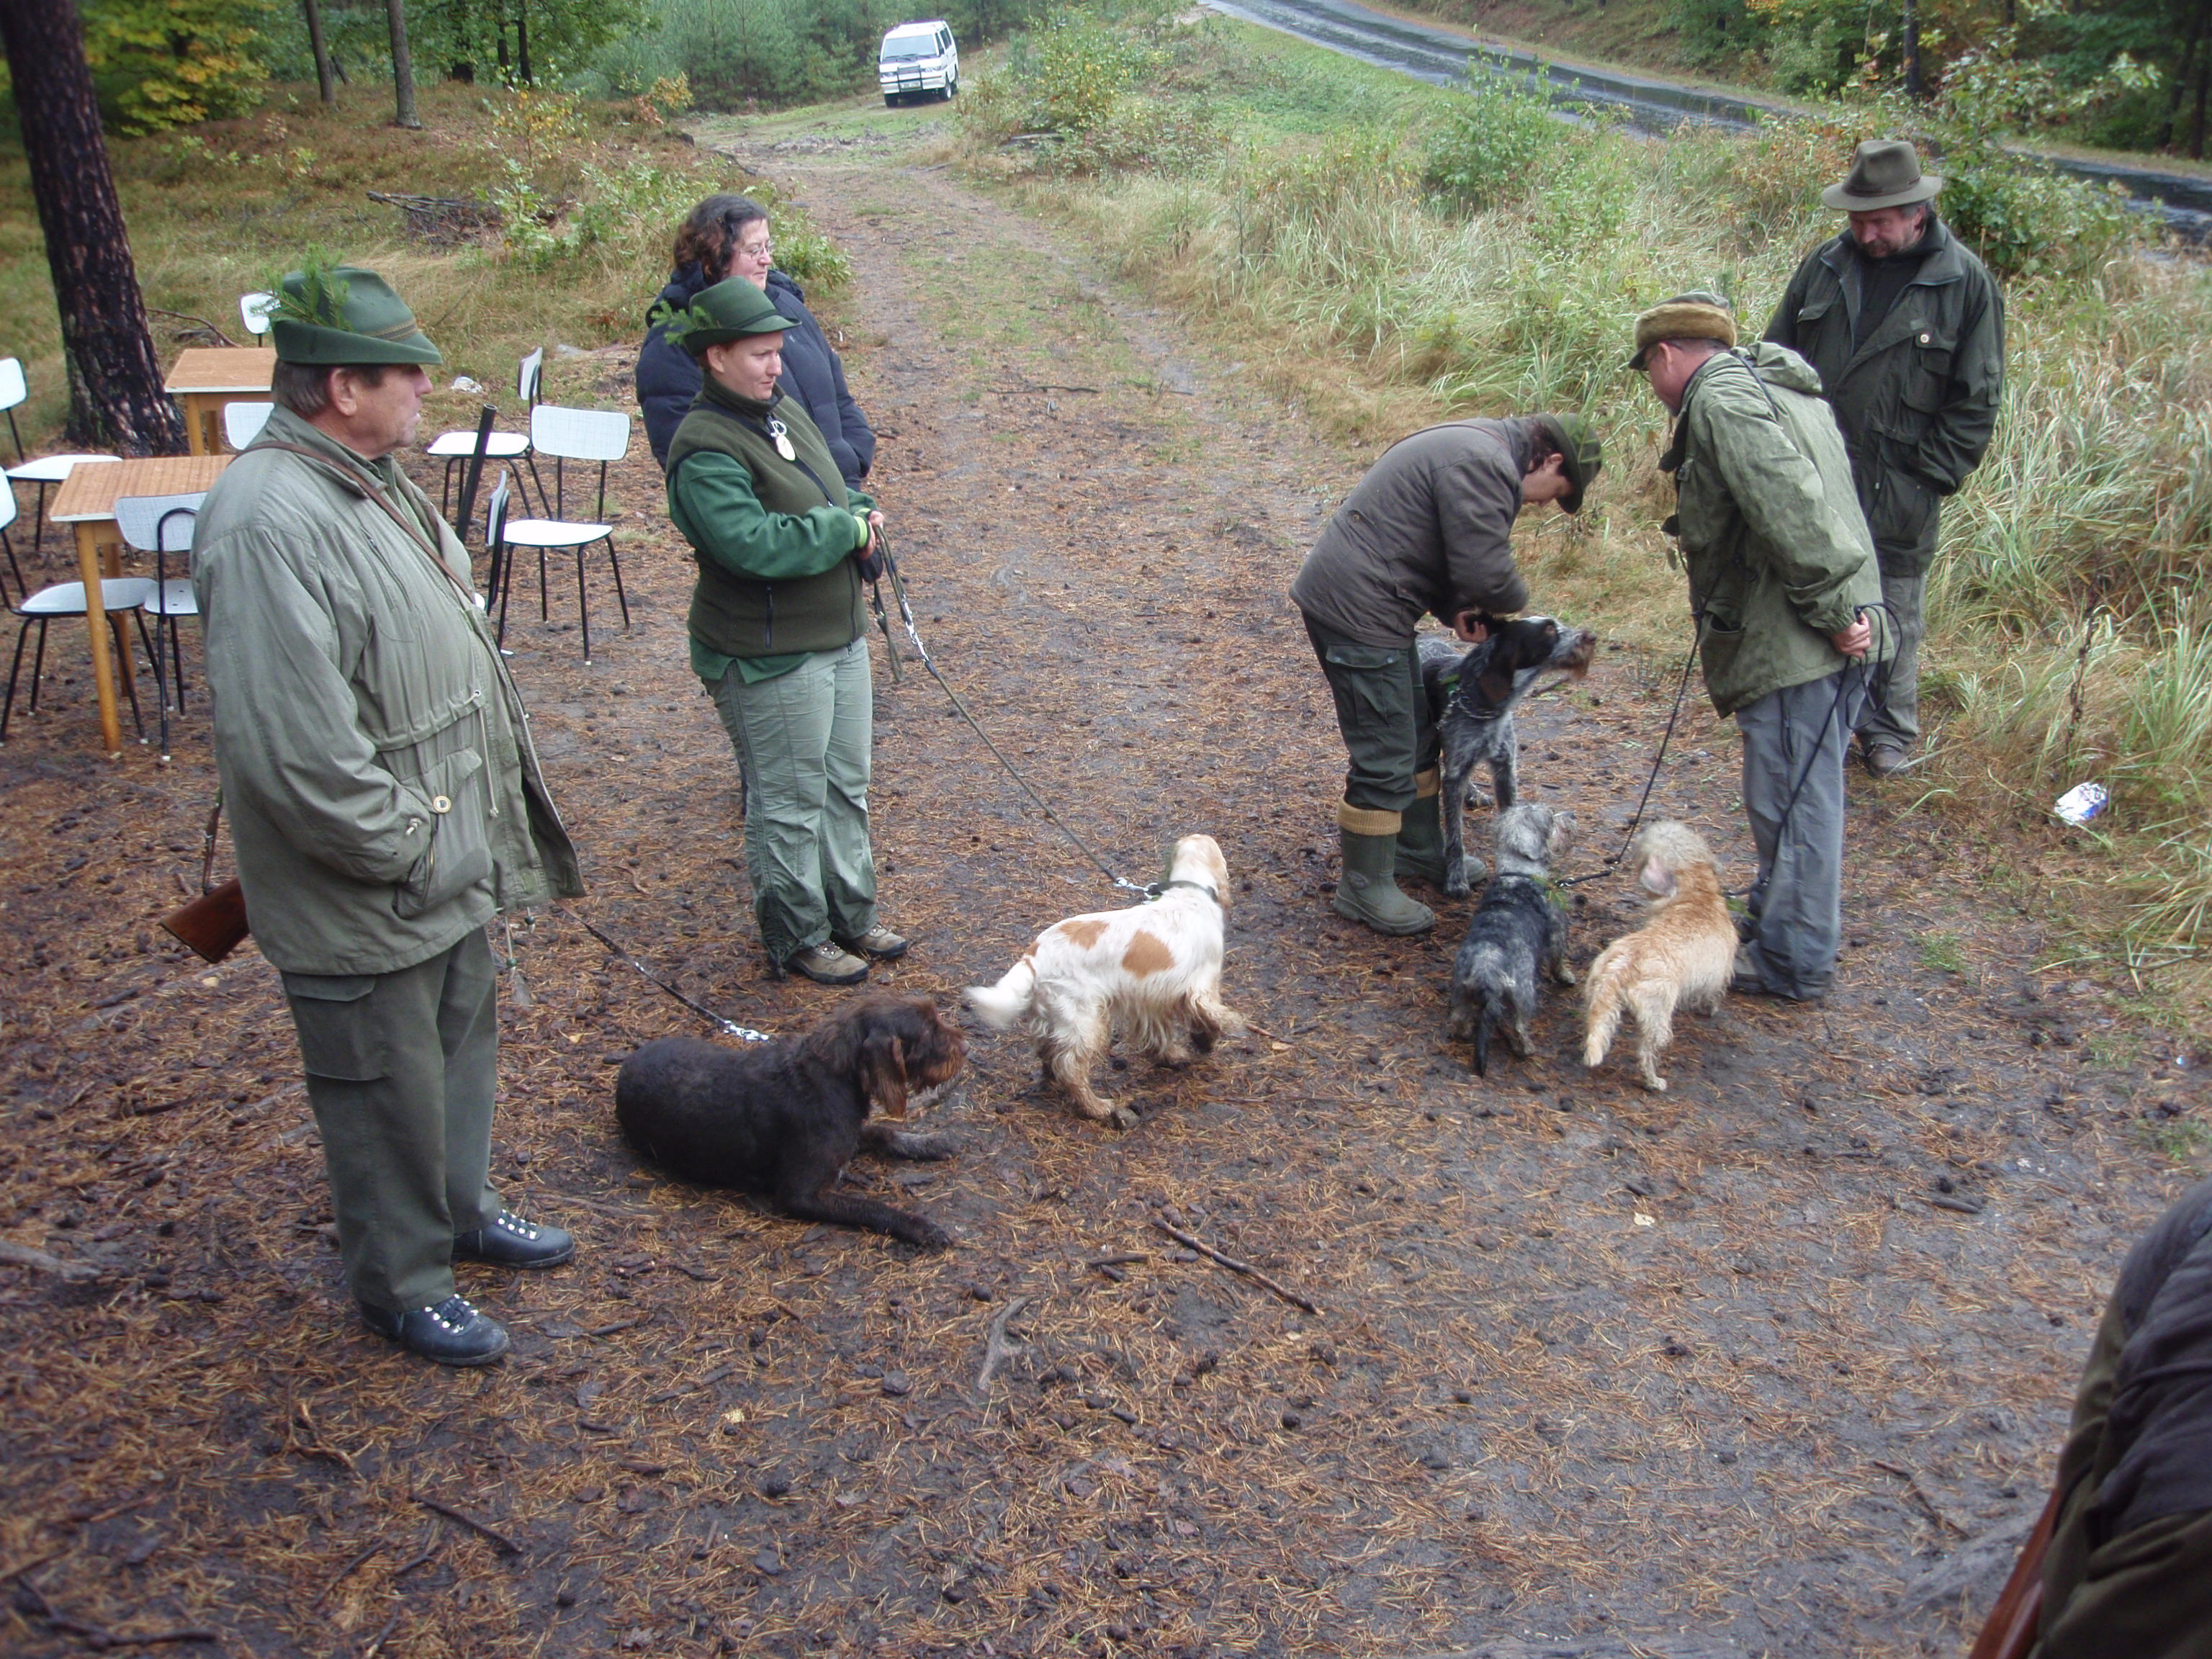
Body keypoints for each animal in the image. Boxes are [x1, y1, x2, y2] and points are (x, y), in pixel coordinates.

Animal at [624, 999, 968, 1247]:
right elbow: (873, 1207)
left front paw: (930, 1143)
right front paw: (919, 1226)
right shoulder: (800, 1195)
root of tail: (628, 1063)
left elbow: (883, 1133)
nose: (966, 1048)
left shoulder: (849, 1134)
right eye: (928, 1032)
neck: (834, 1075)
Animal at [968, 836, 1247, 1123]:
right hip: (1084, 1021)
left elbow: (1161, 1032)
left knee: (1049, 1053)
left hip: (1053, 1018)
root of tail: (1033, 956)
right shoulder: (1202, 987)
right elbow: (1212, 1016)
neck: (1188, 894)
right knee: (1071, 1068)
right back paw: (1098, 1107)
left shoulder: (1153, 999)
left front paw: (1173, 1055)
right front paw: (1210, 1038)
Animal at [1451, 805, 1575, 1079]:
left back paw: (1463, 1030)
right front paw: (1565, 976)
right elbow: (1558, 959)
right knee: (1518, 1026)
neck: (1520, 872)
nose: (1572, 816)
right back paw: (1526, 1047)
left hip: (1462, 989)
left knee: (1459, 1017)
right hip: (1523, 994)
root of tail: (1486, 969)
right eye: (1550, 818)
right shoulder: (1557, 931)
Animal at [1592, 827, 1743, 1097]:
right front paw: (1710, 1010)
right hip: (1658, 1018)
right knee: (1646, 1053)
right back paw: (1653, 1082)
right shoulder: (1720, 973)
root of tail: (1624, 965)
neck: (1696, 894)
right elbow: (1714, 994)